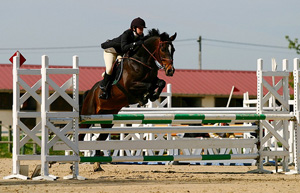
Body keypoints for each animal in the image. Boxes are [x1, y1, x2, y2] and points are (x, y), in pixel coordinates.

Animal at [79, 28, 176, 170]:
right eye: (163, 49)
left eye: (173, 49)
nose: (170, 71)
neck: (142, 62)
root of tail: (90, 92)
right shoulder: (131, 85)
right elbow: (149, 86)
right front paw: (145, 97)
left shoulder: (153, 80)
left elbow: (161, 83)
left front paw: (152, 95)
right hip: (88, 116)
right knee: (80, 136)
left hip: (107, 120)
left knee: (99, 139)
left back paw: (97, 165)